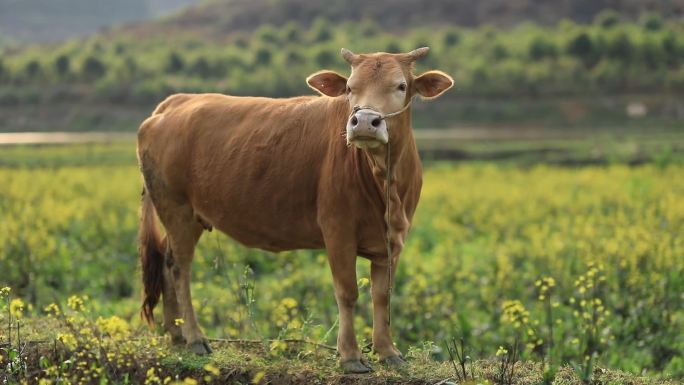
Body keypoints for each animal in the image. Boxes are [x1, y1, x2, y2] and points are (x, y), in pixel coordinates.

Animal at [136, 46, 452, 370]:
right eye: (350, 88)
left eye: (400, 86)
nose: (364, 122)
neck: (385, 185)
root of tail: (175, 102)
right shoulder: (337, 230)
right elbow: (347, 292)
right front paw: (350, 355)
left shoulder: (392, 241)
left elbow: (382, 296)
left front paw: (388, 351)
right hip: (177, 209)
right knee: (179, 267)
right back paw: (195, 337)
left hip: (185, 216)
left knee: (165, 261)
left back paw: (176, 333)